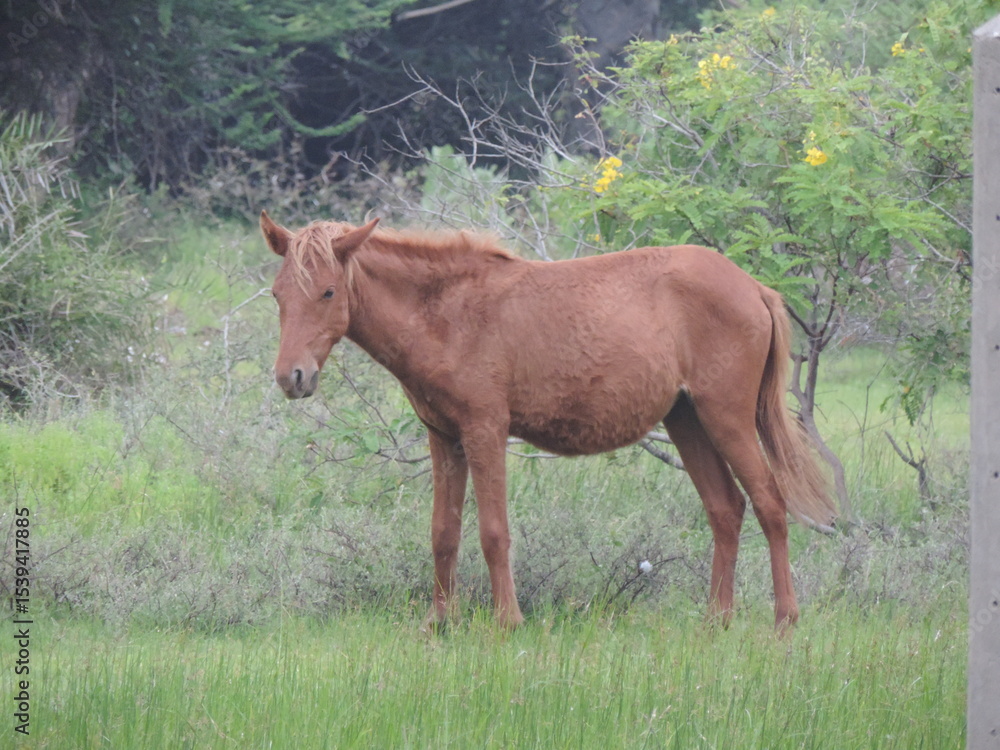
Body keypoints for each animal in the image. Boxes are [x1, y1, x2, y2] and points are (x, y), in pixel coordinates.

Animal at [260, 211, 836, 630]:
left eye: (328, 291)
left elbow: (493, 532)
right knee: (725, 509)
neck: (447, 315)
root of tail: (754, 288)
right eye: (278, 294)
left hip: (727, 418)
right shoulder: (444, 439)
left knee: (770, 505)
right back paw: (717, 620)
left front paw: (507, 622)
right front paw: (439, 624)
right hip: (687, 421)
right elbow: (444, 532)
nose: (292, 377)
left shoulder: (485, 432)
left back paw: (785, 620)